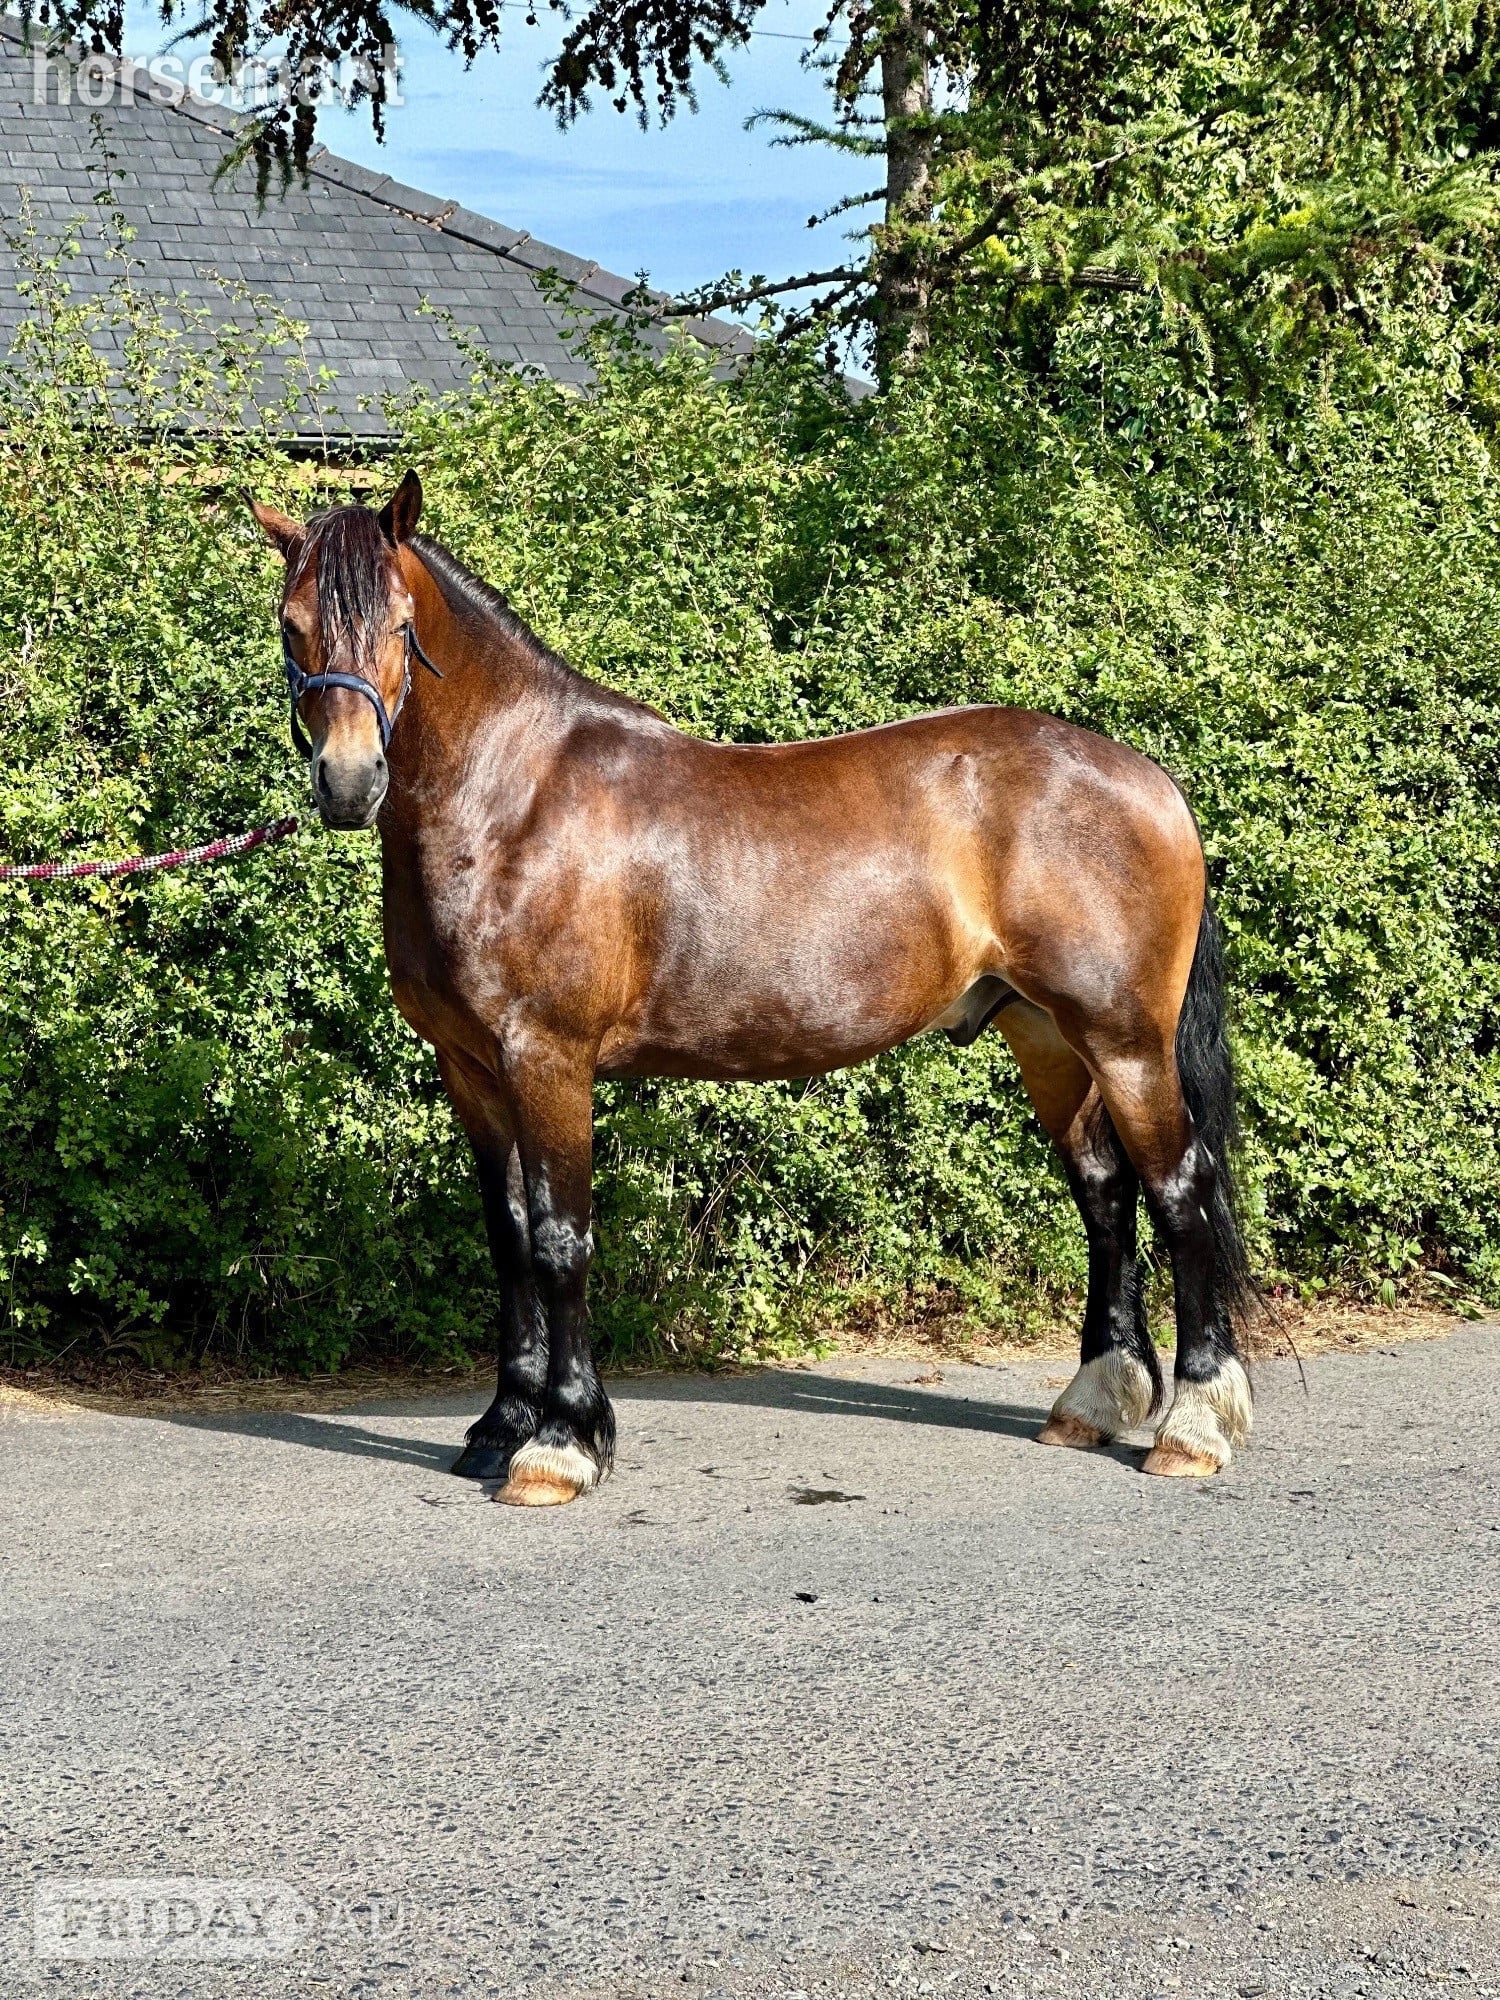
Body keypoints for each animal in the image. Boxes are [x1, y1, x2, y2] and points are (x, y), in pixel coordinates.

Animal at [251, 470, 1255, 1508]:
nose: (348, 782)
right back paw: (1092, 1402)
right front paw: (500, 1427)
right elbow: (511, 1236)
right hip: (1049, 1037)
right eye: (291, 623)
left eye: (402, 622)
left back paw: (1192, 1428)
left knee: (1179, 1191)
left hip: (1126, 1041)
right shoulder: (470, 1068)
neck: (513, 801)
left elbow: (562, 1239)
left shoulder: (549, 1059)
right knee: (1105, 1191)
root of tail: (1152, 782)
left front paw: (560, 1445)